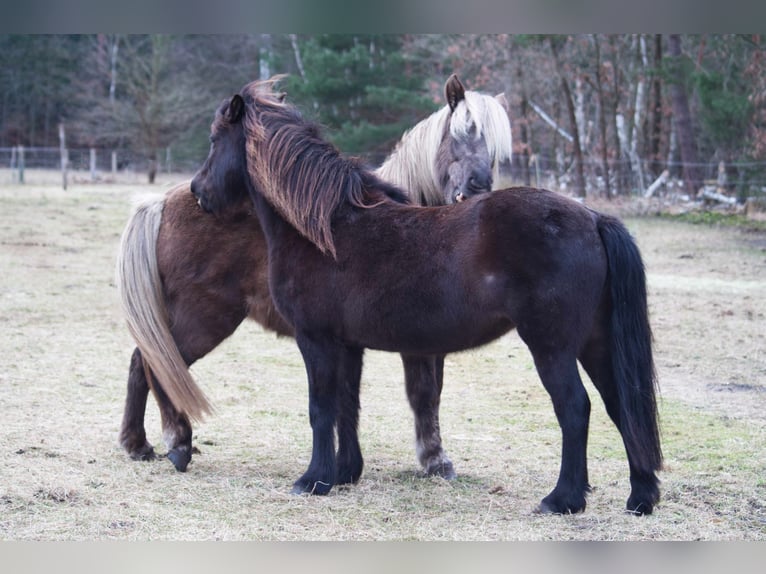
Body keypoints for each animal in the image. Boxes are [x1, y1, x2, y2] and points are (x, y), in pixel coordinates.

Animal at [115, 77, 516, 482]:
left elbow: (419, 395)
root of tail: (162, 203)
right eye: (458, 135)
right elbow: (421, 393)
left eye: (496, 152)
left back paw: (138, 443)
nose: (476, 189)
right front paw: (434, 459)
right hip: (205, 320)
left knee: (142, 362)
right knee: (156, 365)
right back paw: (176, 442)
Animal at [189, 77, 664, 516]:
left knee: (575, 408)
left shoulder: (317, 341)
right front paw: (344, 473)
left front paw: (313, 480)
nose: (198, 191)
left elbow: (320, 408)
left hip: (553, 346)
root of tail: (592, 218)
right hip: (596, 342)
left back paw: (562, 499)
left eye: (214, 139)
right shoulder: (348, 346)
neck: (328, 228)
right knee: (621, 404)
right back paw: (640, 498)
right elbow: (347, 406)